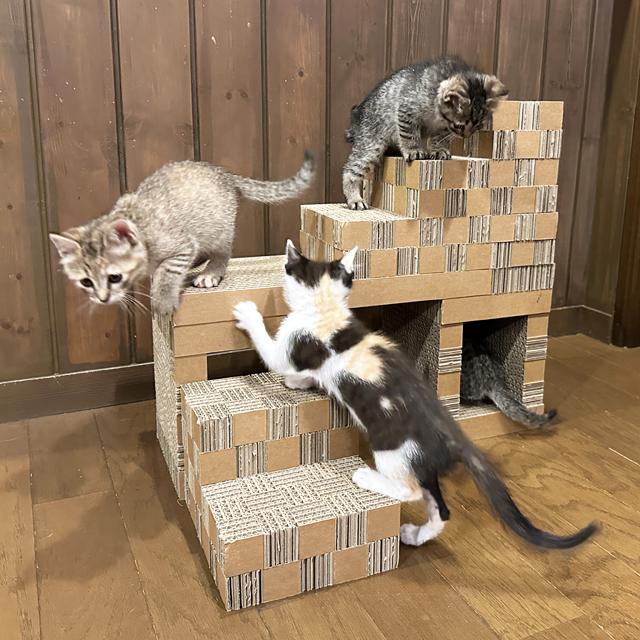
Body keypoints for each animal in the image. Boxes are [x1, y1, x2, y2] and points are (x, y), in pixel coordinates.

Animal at [49, 153, 315, 316]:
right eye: (86, 282)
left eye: (114, 277)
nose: (102, 298)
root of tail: (223, 173)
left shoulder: (181, 245)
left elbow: (168, 271)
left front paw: (162, 301)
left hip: (218, 228)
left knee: (222, 252)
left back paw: (210, 273)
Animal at [232, 241, 598, 549]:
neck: (326, 310)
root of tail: (452, 435)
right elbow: (306, 373)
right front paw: (302, 383)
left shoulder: (292, 346)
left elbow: (274, 354)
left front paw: (249, 315)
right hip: (420, 463)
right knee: (441, 509)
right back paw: (416, 535)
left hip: (392, 450)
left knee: (409, 492)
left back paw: (368, 477)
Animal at [342, 55, 508, 210]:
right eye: (460, 126)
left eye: (478, 127)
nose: (466, 136)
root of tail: (357, 115)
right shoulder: (406, 111)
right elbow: (409, 134)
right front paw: (413, 149)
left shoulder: (443, 128)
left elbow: (440, 138)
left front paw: (438, 149)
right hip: (371, 143)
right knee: (350, 170)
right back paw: (355, 199)